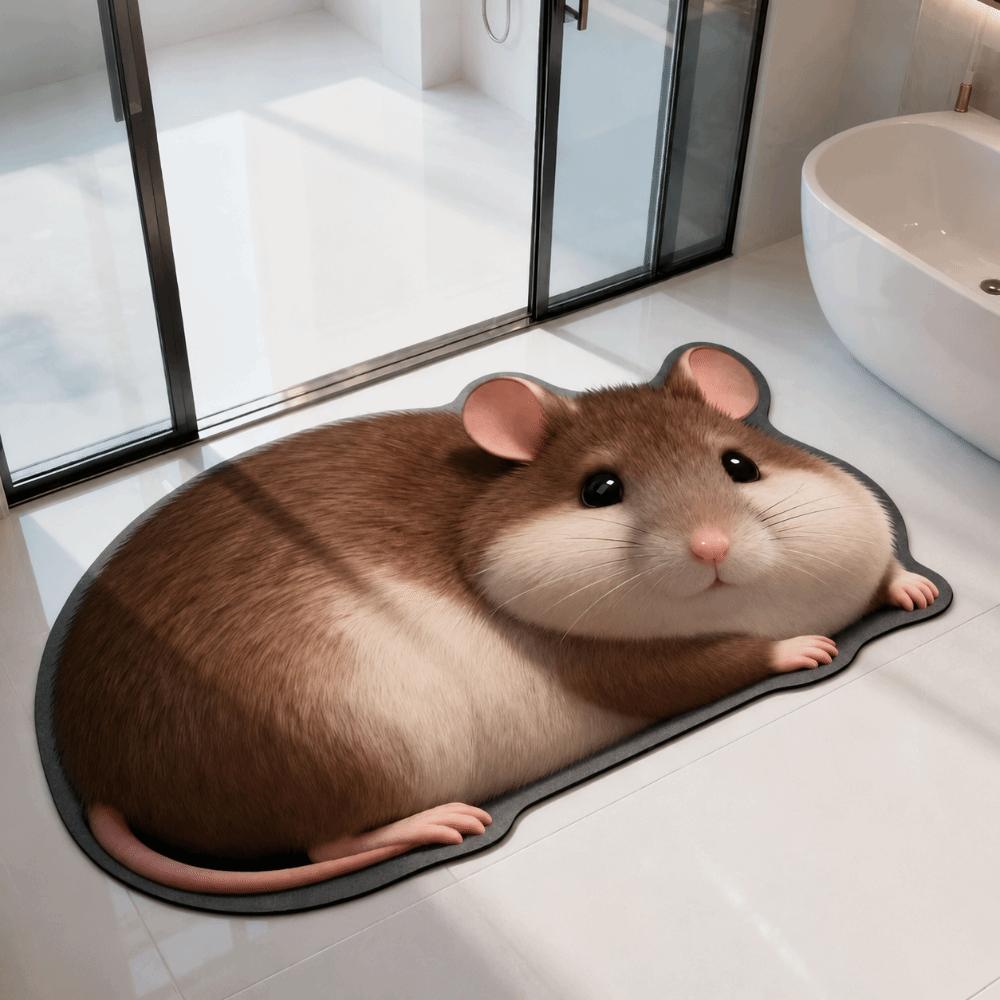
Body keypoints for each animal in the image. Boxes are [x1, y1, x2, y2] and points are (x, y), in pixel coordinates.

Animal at [55, 346, 938, 894]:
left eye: (740, 464)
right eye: (600, 490)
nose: (712, 546)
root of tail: (99, 774)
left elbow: (884, 570)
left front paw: (915, 591)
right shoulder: (630, 670)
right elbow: (722, 661)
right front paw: (804, 646)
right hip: (378, 745)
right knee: (327, 844)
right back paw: (444, 823)